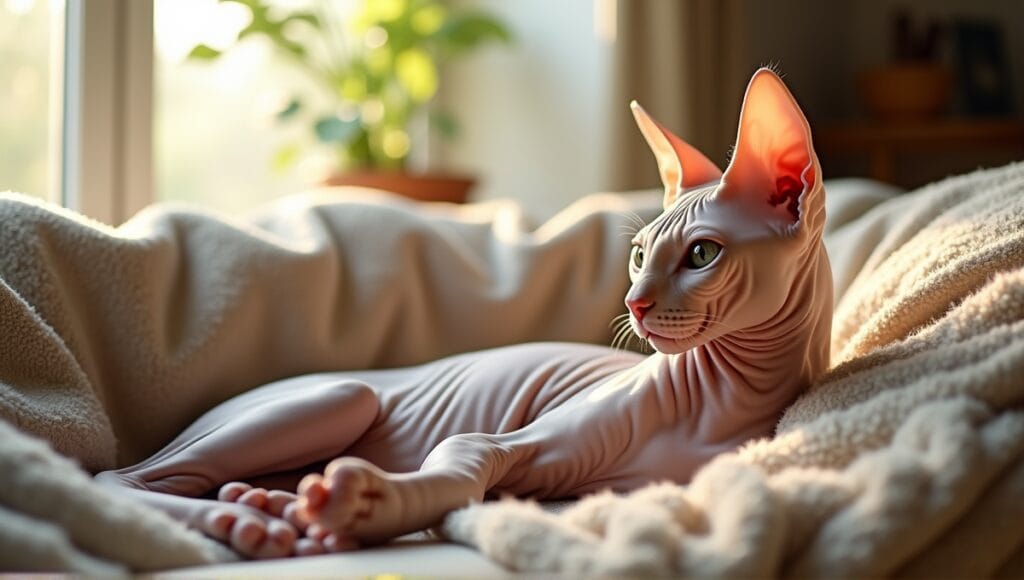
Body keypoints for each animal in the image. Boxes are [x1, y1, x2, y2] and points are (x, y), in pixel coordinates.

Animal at [96, 69, 831, 565]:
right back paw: (250, 523)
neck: (723, 397)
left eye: (702, 254)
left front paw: (352, 507)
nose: (634, 303)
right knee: (117, 480)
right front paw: (371, 504)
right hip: (343, 395)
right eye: (639, 255)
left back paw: (260, 508)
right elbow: (457, 479)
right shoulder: (491, 443)